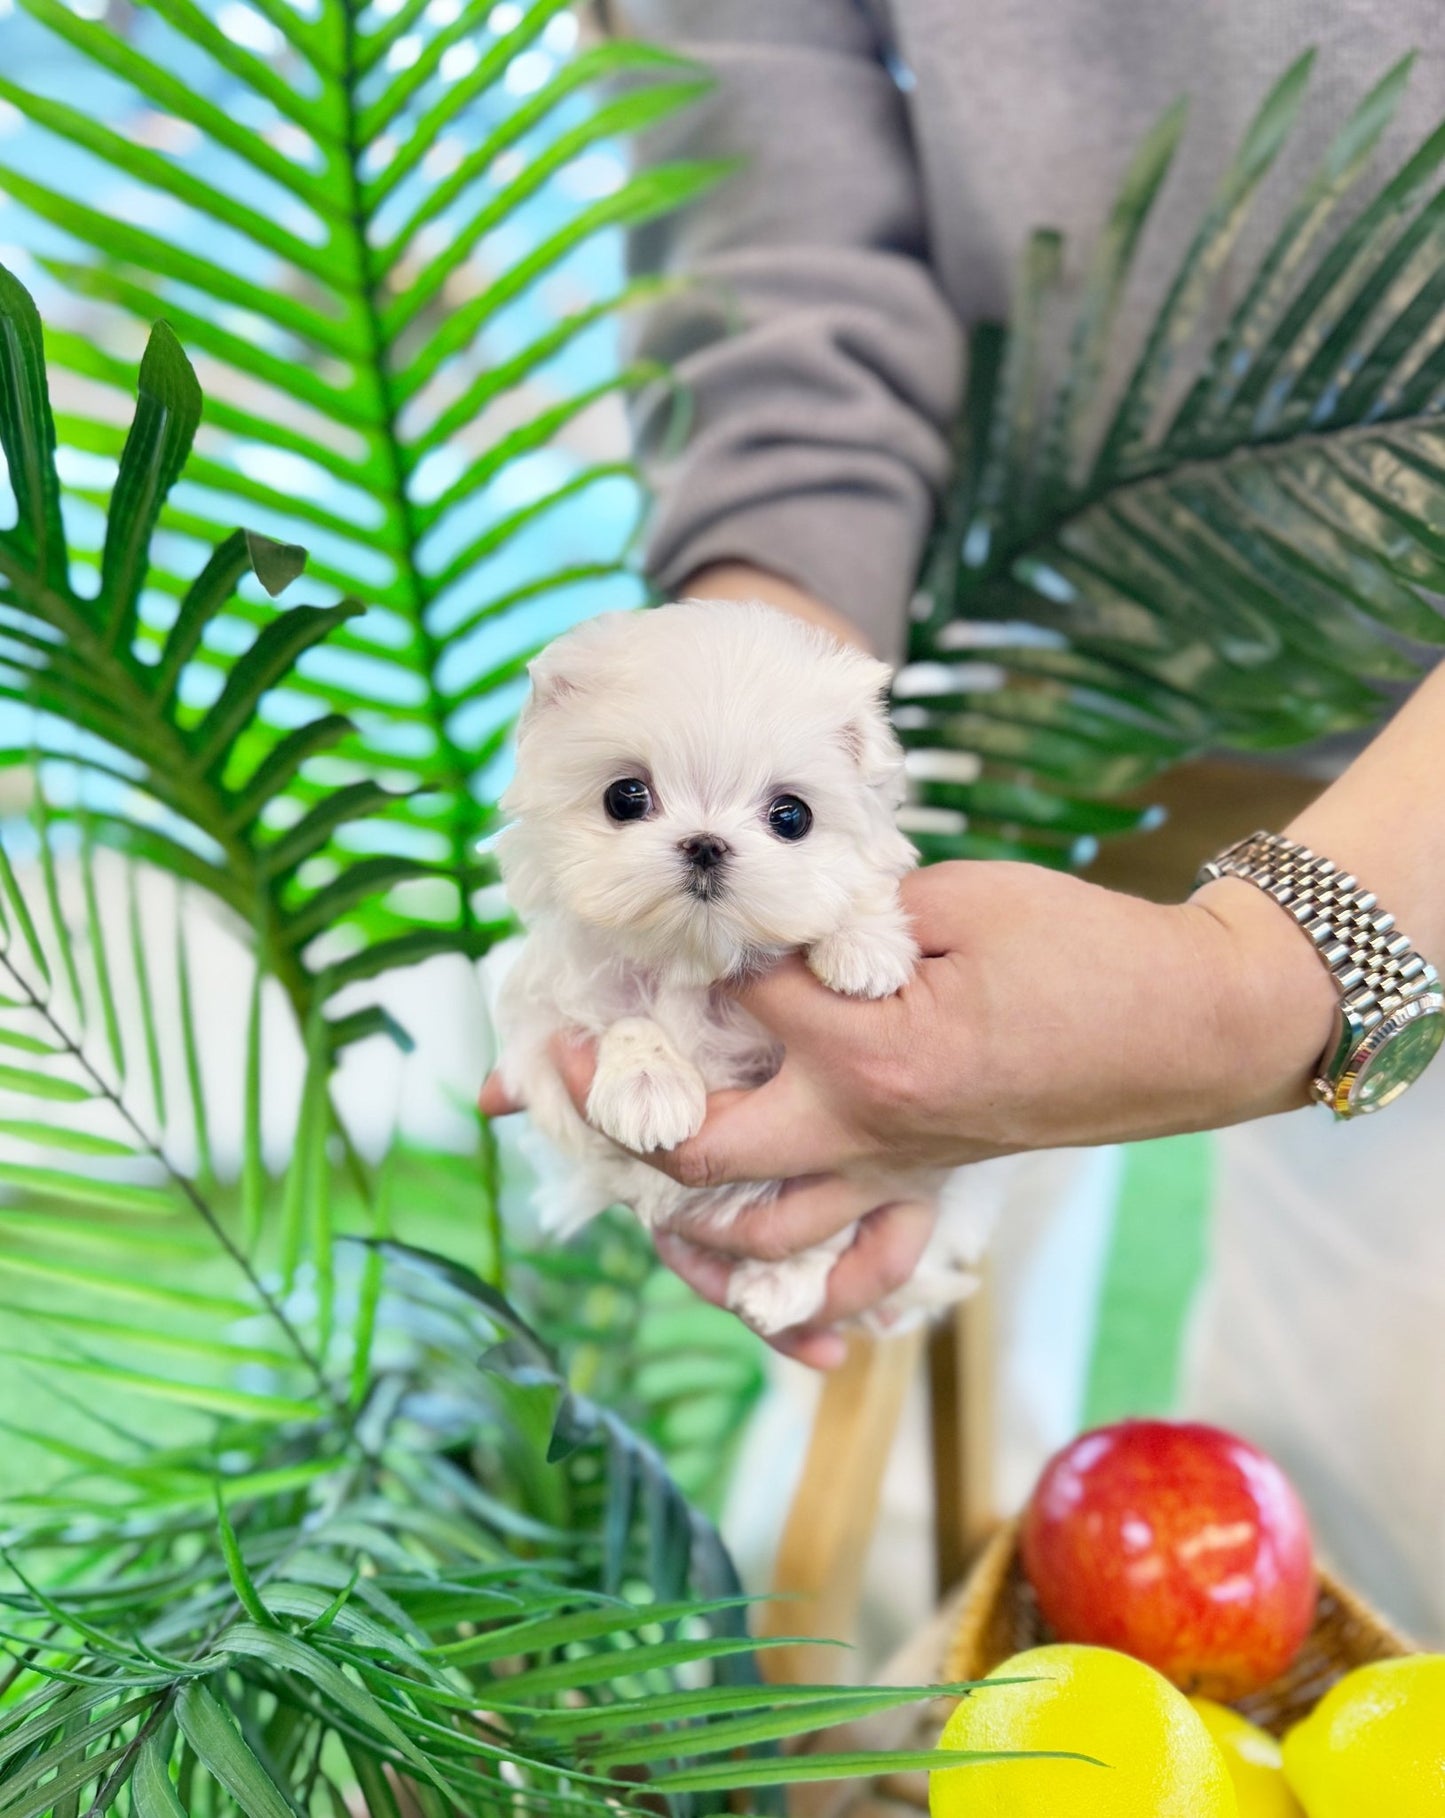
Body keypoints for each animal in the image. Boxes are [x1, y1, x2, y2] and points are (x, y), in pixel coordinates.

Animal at [494, 603, 981, 1330]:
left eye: (791, 816)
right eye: (625, 797)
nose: (705, 844)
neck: (694, 959)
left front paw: (861, 943)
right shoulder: (544, 1026)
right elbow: (622, 1021)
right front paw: (647, 1087)